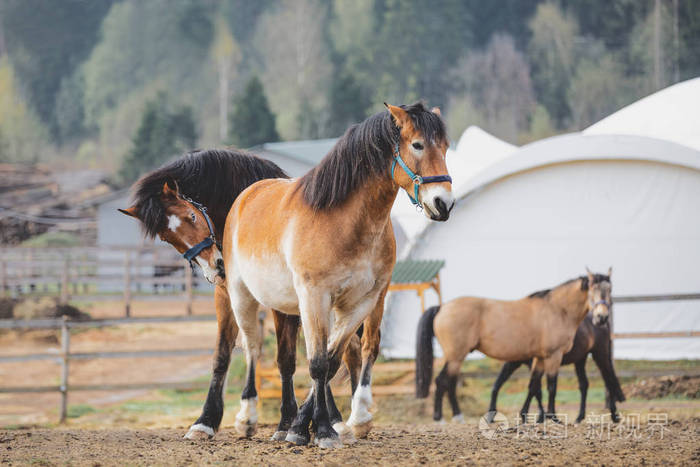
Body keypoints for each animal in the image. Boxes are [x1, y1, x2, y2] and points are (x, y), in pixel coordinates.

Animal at [418, 270, 608, 424]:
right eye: (592, 290)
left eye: (610, 290)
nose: (602, 317)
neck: (557, 310)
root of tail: (442, 307)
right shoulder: (553, 356)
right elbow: (551, 386)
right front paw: (552, 418)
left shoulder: (539, 358)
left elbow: (534, 387)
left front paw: (529, 417)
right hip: (456, 356)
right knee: (443, 381)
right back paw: (443, 418)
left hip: (456, 357)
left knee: (449, 383)